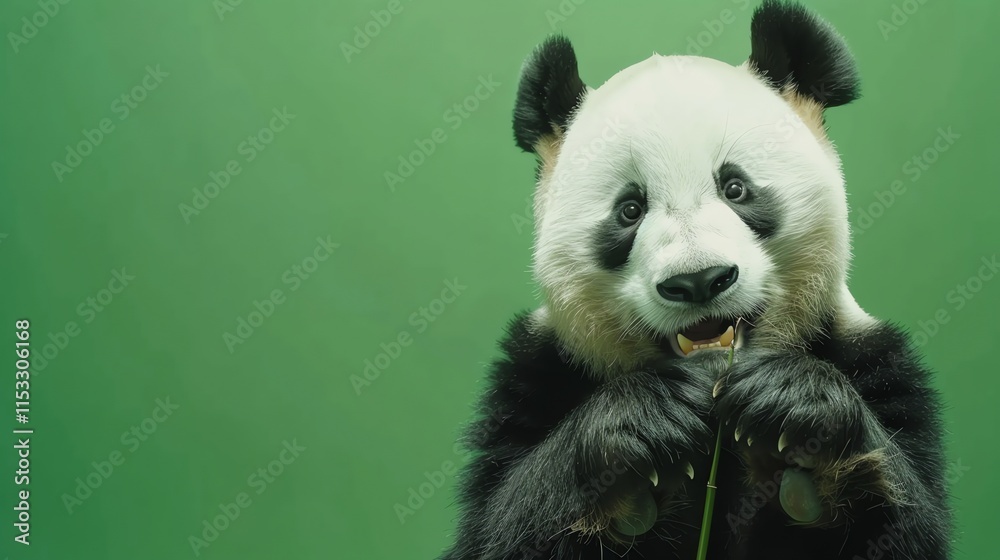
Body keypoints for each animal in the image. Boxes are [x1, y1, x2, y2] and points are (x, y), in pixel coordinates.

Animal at [442, 1, 951, 558]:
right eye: (629, 209)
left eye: (735, 188)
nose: (699, 280)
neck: (710, 388)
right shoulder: (539, 373)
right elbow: (500, 525)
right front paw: (645, 421)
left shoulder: (869, 356)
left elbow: (907, 519)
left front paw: (794, 403)